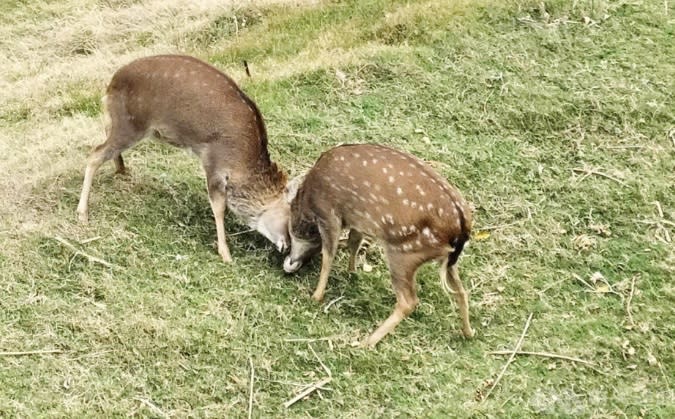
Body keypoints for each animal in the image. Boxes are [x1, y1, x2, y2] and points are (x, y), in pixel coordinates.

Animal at [76, 55, 290, 262]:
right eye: (290, 221)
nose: (288, 247)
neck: (242, 160)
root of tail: (109, 86)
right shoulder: (213, 161)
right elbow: (219, 206)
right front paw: (226, 254)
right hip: (130, 125)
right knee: (94, 154)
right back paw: (82, 214)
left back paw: (121, 171)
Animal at [284, 144, 476, 348]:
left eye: (289, 226)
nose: (291, 260)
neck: (308, 197)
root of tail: (461, 227)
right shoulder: (357, 220)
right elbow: (354, 240)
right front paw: (352, 271)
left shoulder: (329, 214)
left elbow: (329, 254)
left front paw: (316, 296)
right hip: (445, 261)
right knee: (461, 291)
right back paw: (468, 332)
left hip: (405, 253)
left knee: (409, 301)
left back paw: (367, 341)